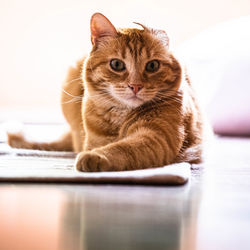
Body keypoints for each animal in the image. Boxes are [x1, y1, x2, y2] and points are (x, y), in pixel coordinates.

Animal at [7, 12, 205, 171]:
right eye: (116, 64)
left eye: (152, 66)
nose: (135, 86)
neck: (121, 117)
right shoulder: (93, 140)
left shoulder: (156, 137)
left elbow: (124, 147)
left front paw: (96, 157)